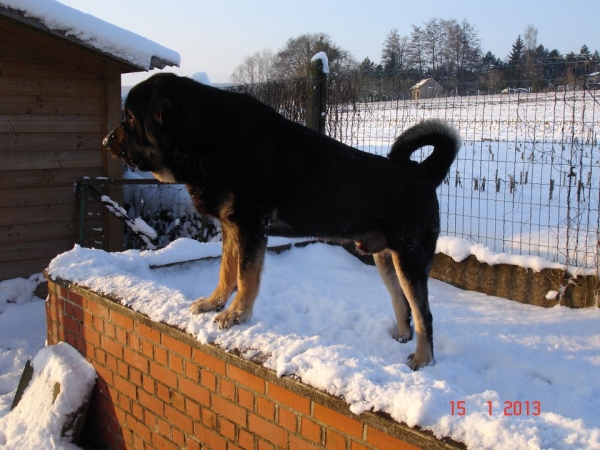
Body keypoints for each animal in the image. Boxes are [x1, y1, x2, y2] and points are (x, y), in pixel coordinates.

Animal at [103, 73, 460, 370]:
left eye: (130, 118)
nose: (107, 141)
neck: (204, 135)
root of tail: (424, 173)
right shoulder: (231, 226)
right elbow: (226, 272)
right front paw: (214, 303)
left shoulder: (250, 224)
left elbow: (246, 276)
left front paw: (237, 315)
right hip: (386, 258)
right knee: (402, 302)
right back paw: (403, 336)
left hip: (410, 257)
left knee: (424, 313)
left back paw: (423, 359)